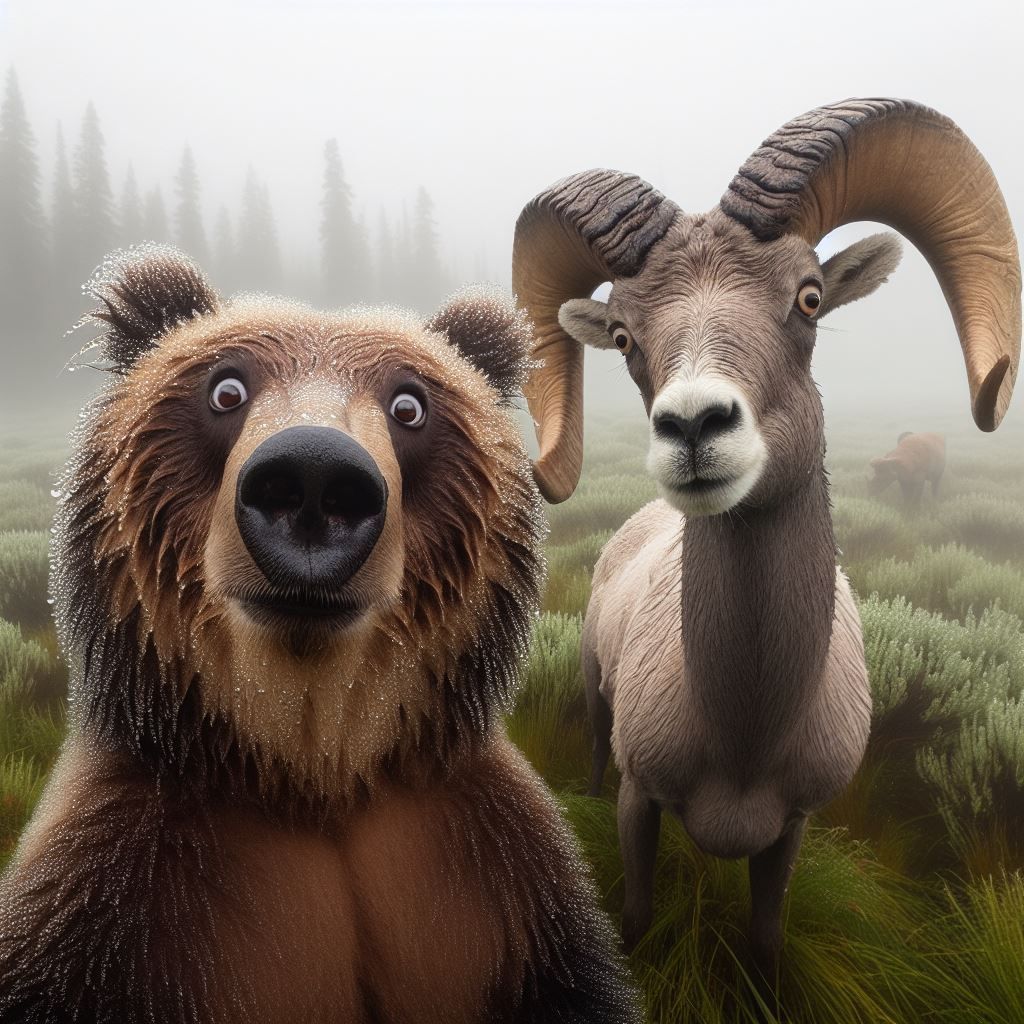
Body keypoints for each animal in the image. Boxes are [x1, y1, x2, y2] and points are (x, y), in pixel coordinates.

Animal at [0, 246, 641, 1024]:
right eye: (226, 389)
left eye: (409, 405)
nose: (312, 477)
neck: (313, 772)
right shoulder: (108, 909)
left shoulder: (503, 899)